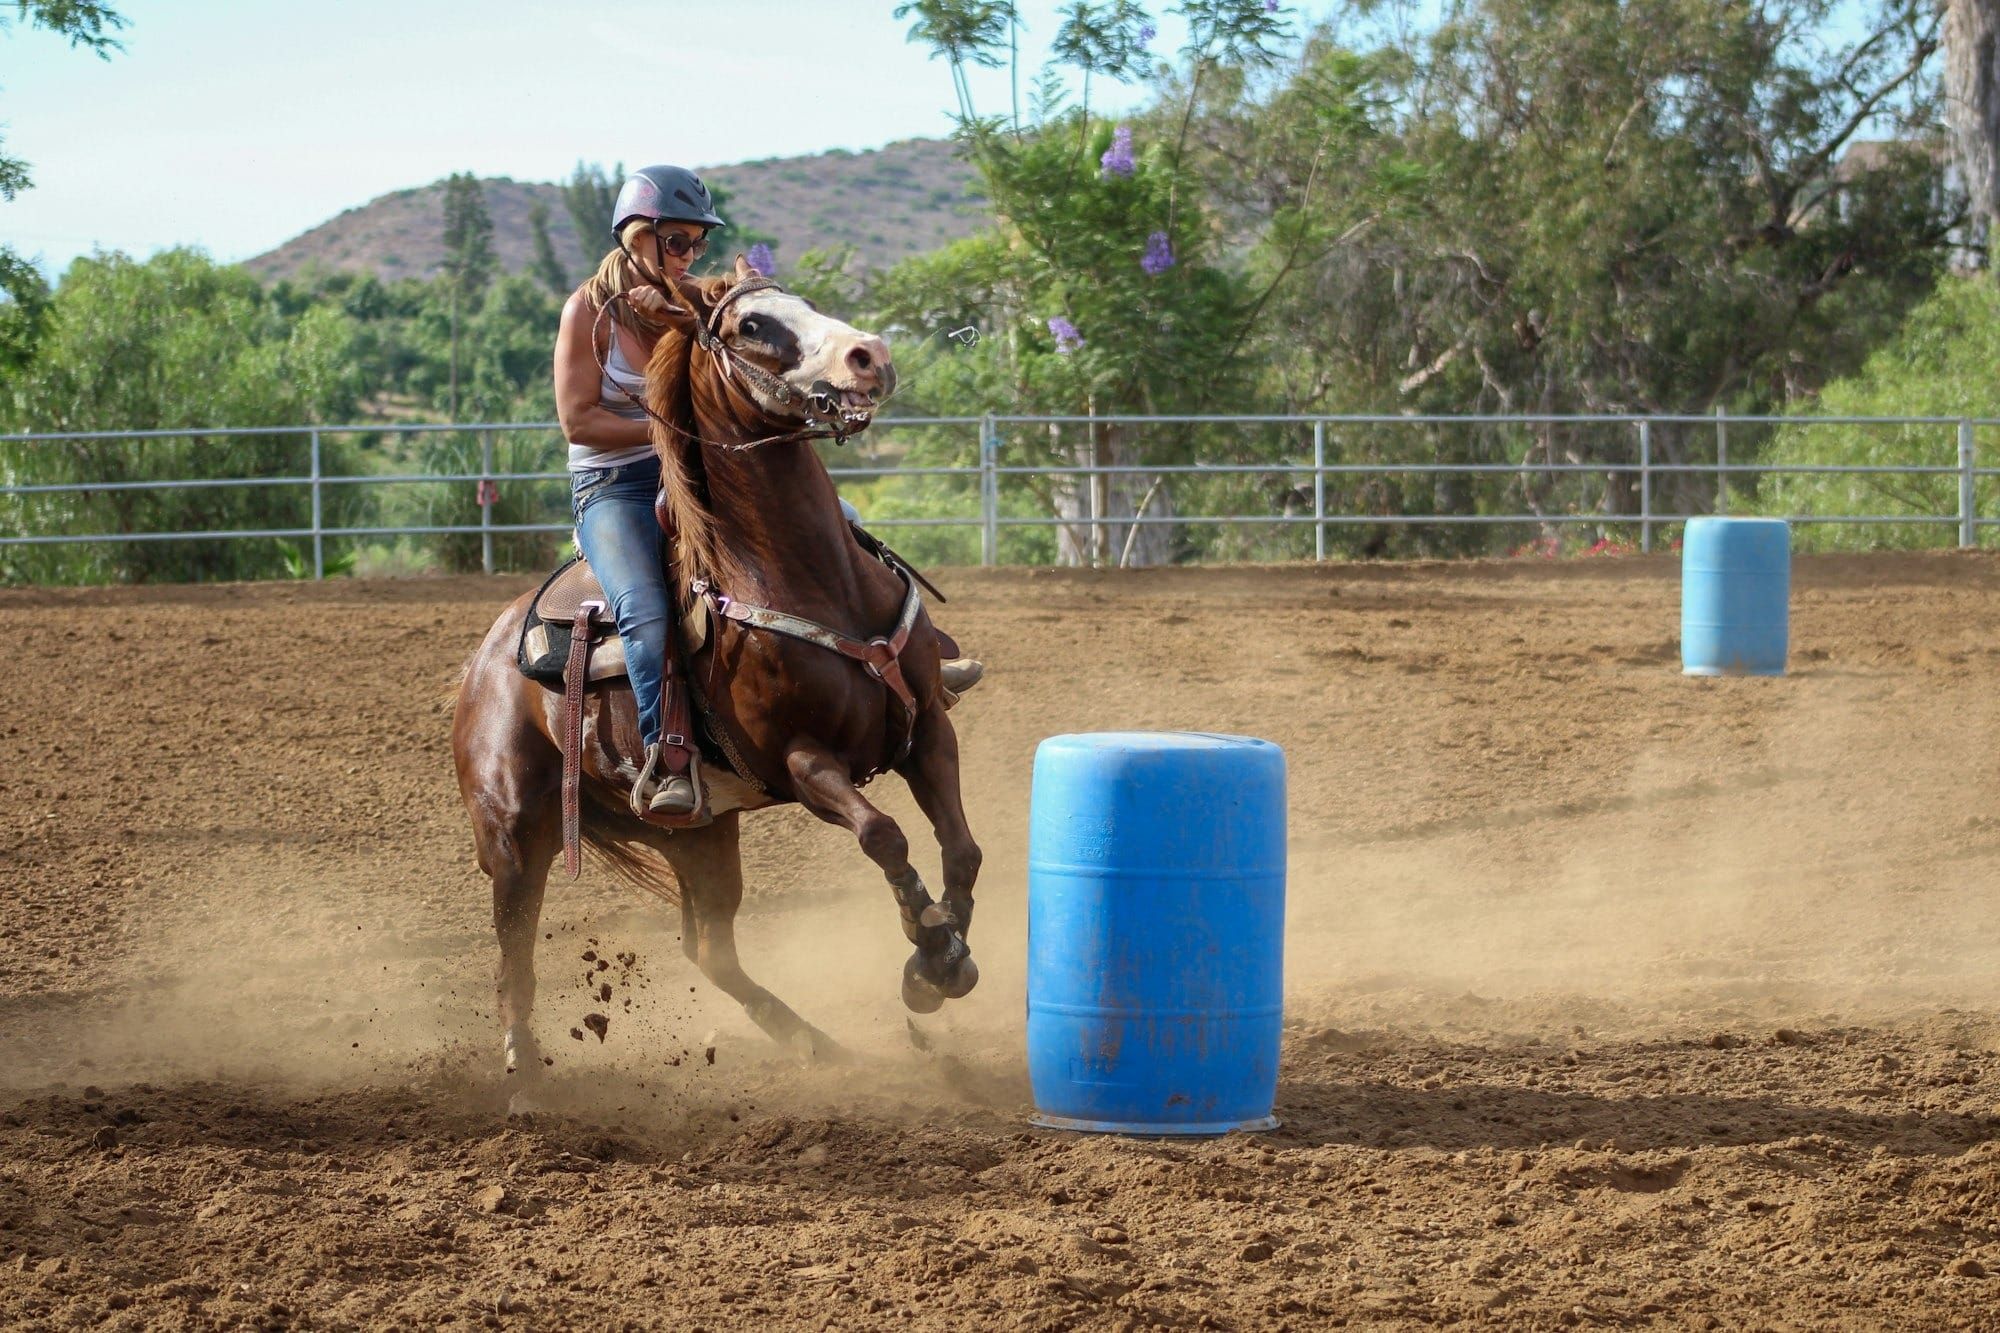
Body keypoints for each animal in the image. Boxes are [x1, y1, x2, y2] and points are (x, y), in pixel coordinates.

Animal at [450, 257, 981, 1076]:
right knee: (514, 952)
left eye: (804, 301)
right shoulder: (800, 759)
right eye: (752, 325)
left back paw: (817, 1043)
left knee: (710, 950)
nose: (871, 356)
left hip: (698, 835)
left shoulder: (926, 730)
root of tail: (484, 664)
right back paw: (525, 1074)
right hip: (512, 831)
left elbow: (961, 844)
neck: (814, 579)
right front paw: (928, 951)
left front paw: (945, 954)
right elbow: (883, 834)